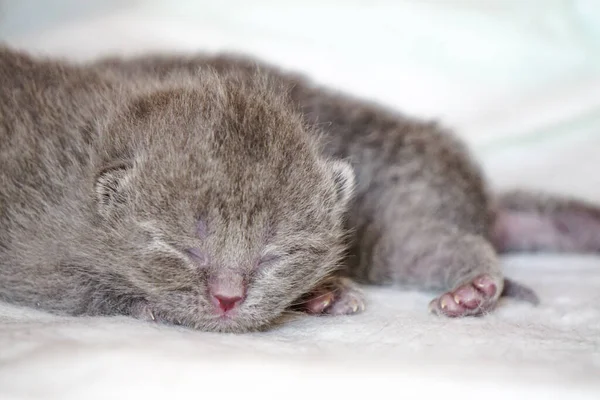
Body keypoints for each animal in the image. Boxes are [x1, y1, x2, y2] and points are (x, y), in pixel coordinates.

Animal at [0, 47, 356, 334]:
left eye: (273, 256)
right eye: (185, 250)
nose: (227, 299)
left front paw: (327, 291)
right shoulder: (31, 257)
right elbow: (72, 289)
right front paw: (144, 304)